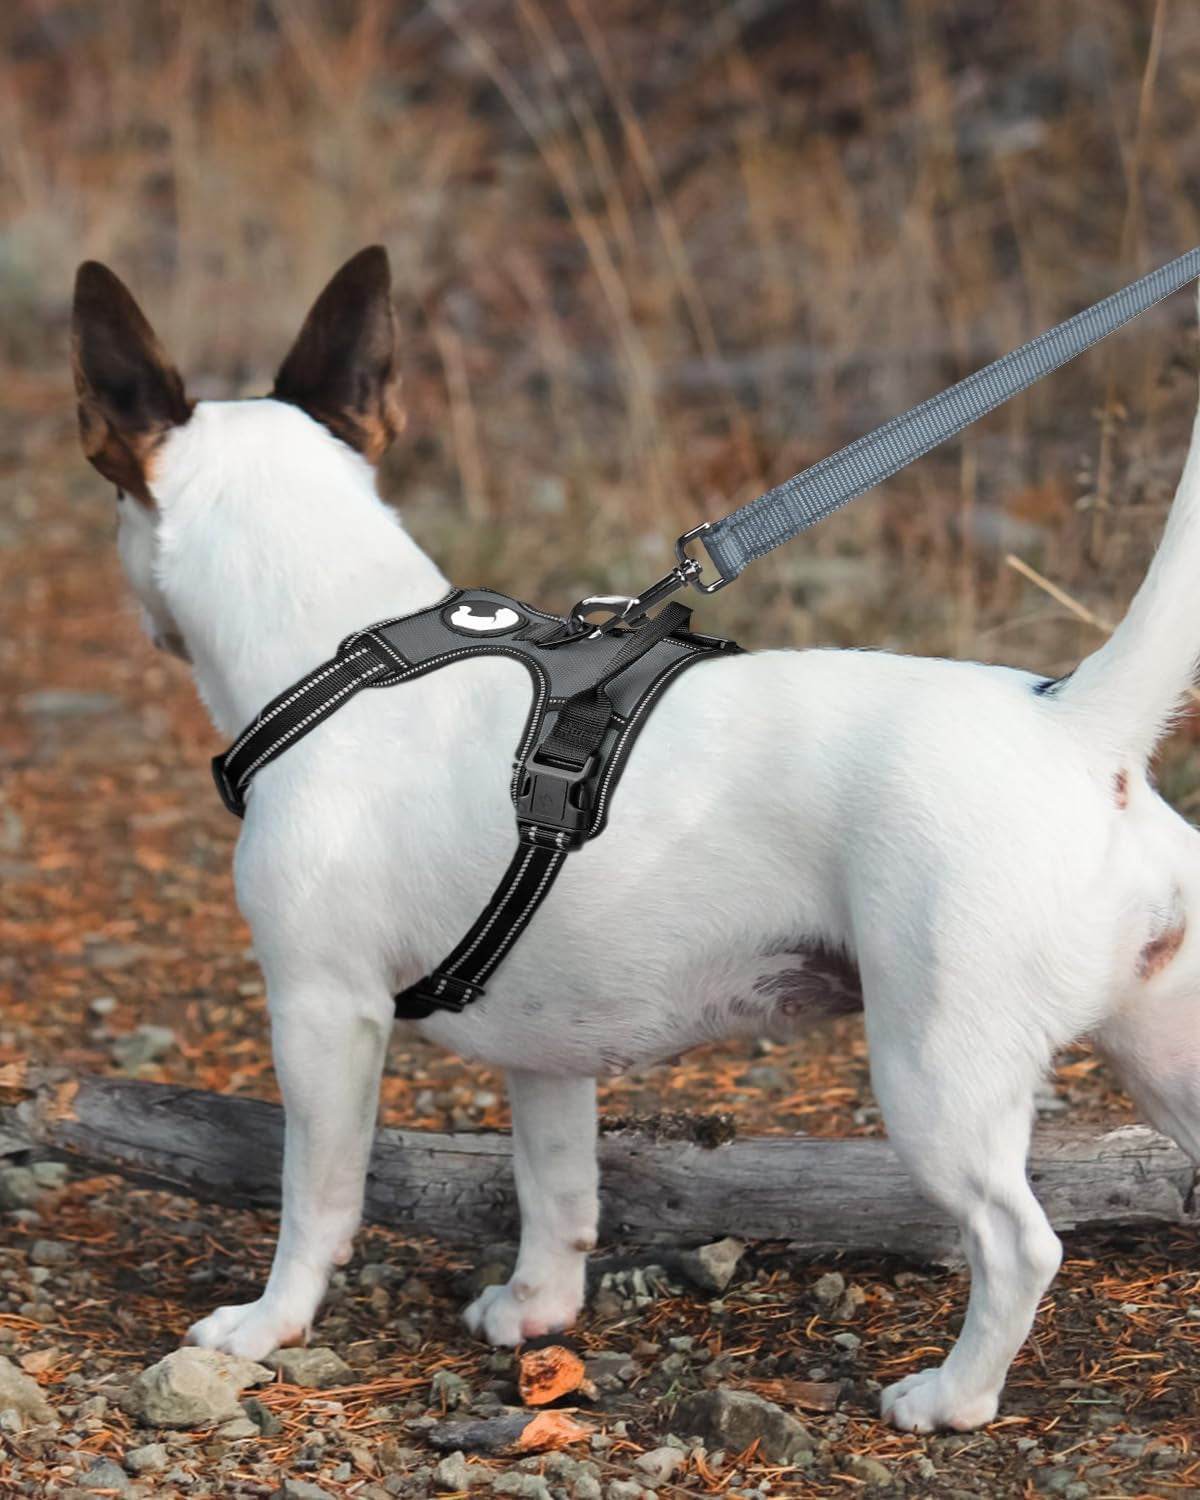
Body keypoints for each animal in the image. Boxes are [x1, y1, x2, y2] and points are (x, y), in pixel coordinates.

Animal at [70, 243, 1200, 1428]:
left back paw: (953, 1396)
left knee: (1018, 1244)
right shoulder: (546, 1050)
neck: (349, 650)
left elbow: (316, 1199)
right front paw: (538, 1311)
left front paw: (267, 1327)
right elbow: (557, 1186)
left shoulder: (321, 1014)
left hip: (938, 1074)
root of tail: (1077, 726)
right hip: (1167, 1058)